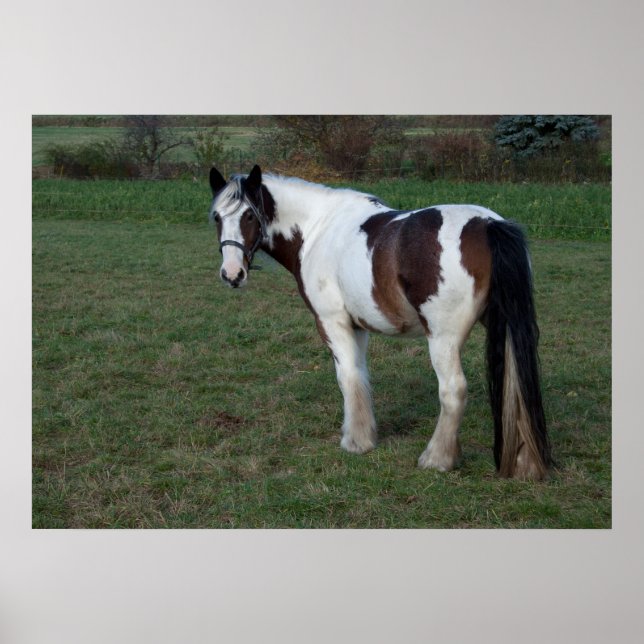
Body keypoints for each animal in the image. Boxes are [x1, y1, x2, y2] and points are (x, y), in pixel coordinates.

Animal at [208, 165, 551, 480]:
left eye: (249, 216)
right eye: (217, 217)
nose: (232, 274)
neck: (317, 227)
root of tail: (490, 224)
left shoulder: (332, 322)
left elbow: (347, 377)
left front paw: (356, 442)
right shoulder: (358, 326)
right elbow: (359, 375)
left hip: (443, 338)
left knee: (453, 391)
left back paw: (437, 458)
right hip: (505, 328)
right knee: (515, 386)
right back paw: (525, 464)